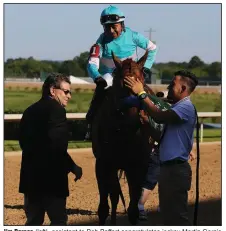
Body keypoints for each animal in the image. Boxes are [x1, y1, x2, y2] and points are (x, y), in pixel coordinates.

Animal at [92, 51, 155, 226]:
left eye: (141, 82)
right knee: (114, 196)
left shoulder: (138, 165)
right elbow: (104, 207)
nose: (135, 121)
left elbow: (133, 209)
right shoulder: (103, 163)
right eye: (120, 85)